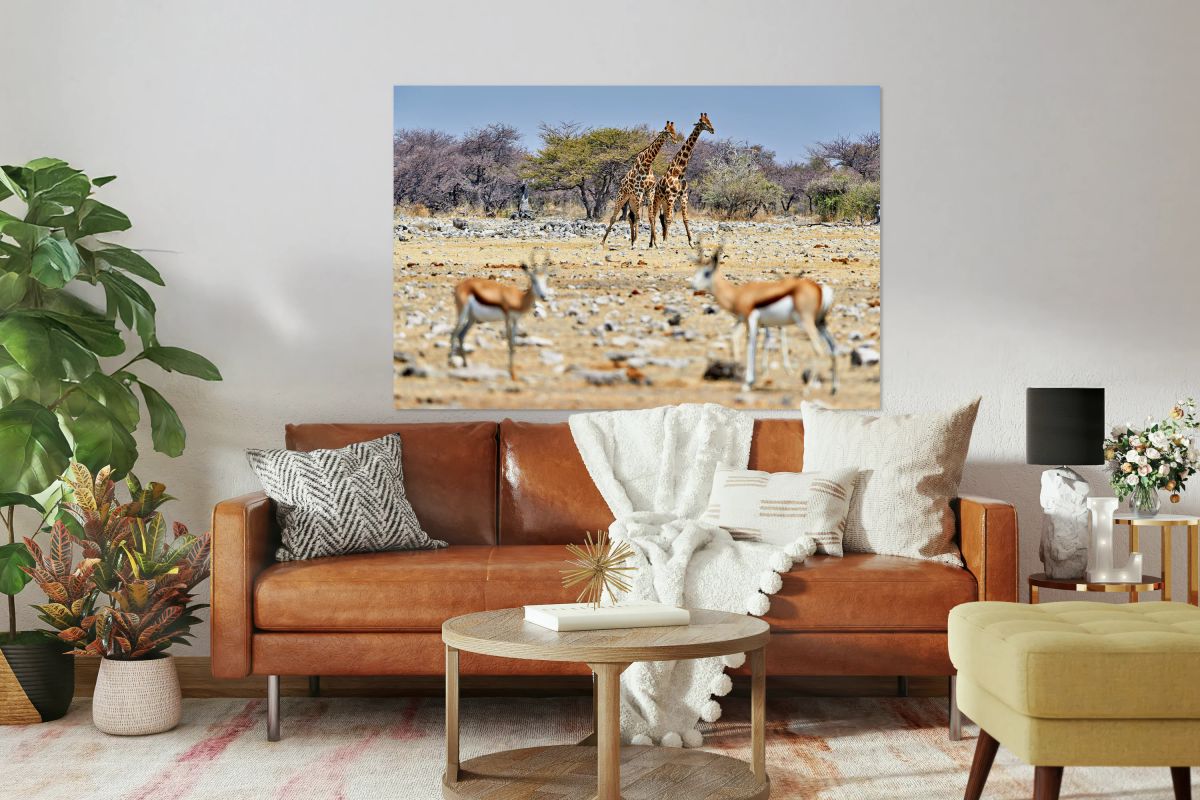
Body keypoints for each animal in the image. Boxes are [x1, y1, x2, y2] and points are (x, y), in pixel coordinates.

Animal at [649, 113, 714, 248]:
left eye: (710, 121)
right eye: (703, 122)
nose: (712, 129)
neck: (679, 172)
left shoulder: (683, 196)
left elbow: (685, 219)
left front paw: (691, 242)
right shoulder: (671, 196)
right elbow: (669, 219)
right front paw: (665, 241)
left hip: (665, 202)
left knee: (662, 218)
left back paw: (659, 239)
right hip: (657, 200)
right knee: (654, 217)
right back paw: (653, 242)